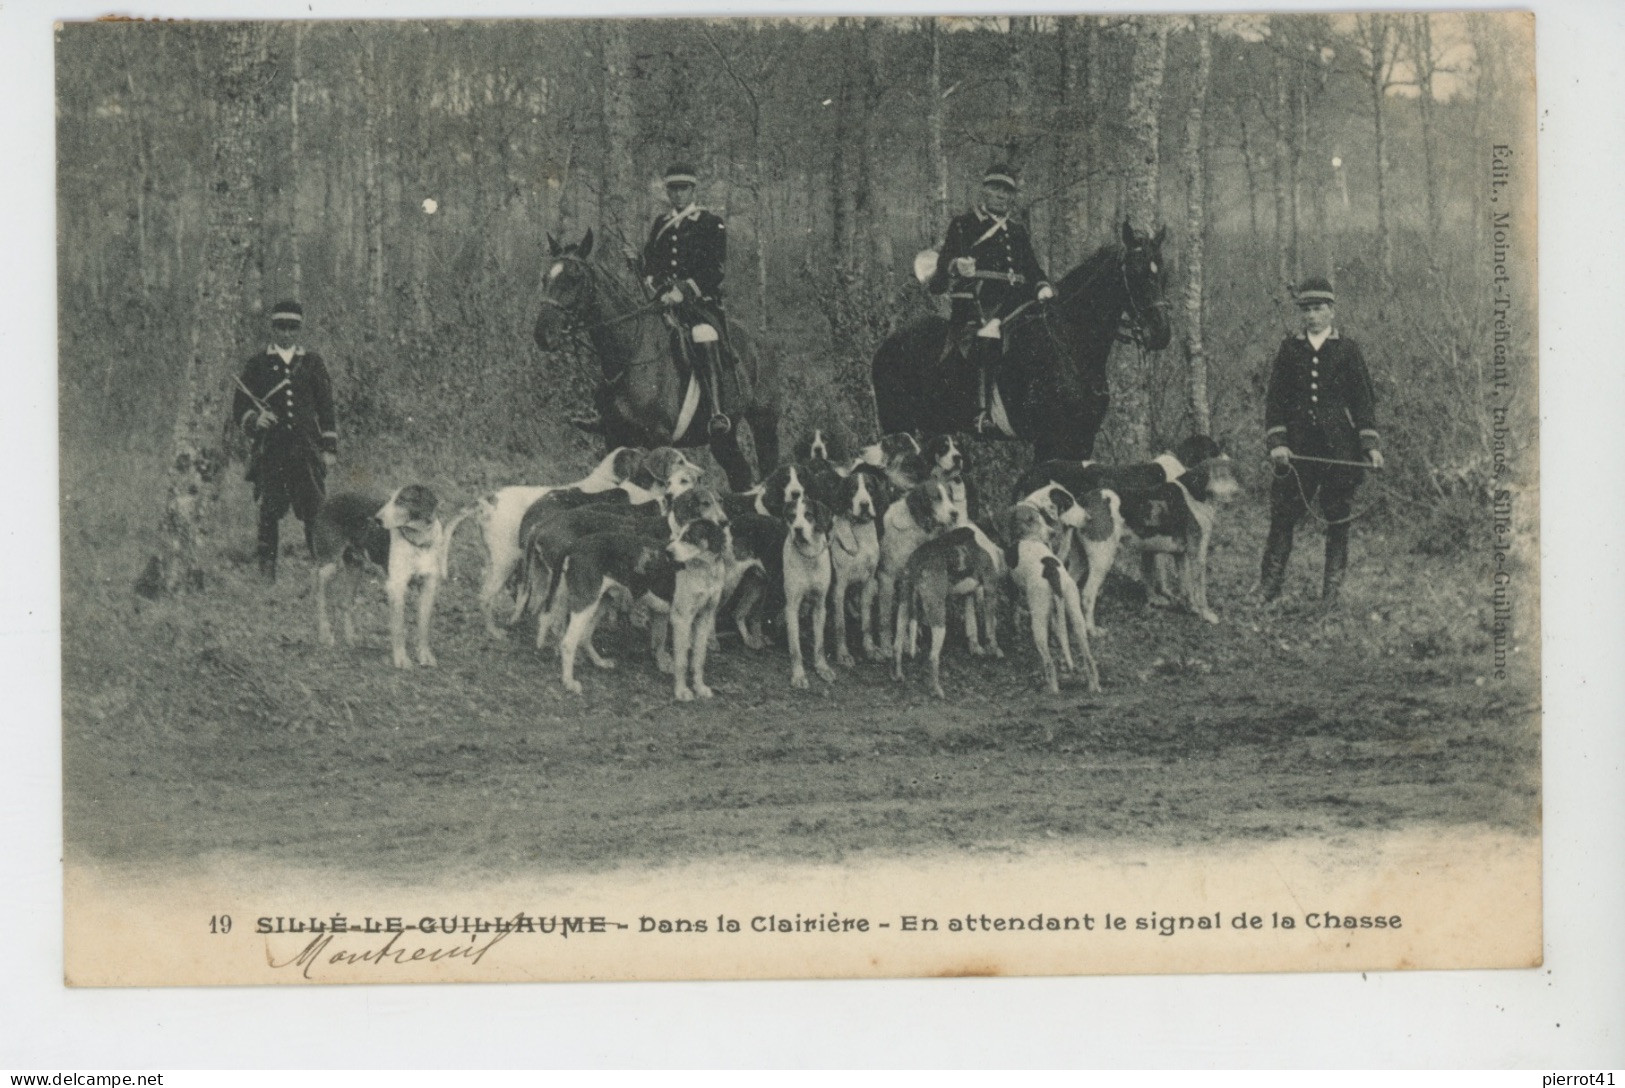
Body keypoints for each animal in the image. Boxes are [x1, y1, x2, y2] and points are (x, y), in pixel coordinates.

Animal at [533, 232, 780, 493]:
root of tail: (761, 341)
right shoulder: (614, 438)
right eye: (545, 278)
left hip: (764, 423)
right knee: (741, 475)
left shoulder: (658, 440)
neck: (631, 354)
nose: (542, 334)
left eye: (575, 278)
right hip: (723, 438)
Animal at [871, 219, 1176, 461]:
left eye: (1163, 273)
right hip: (898, 425)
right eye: (1135, 273)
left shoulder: (1081, 439)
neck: (1070, 346)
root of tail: (887, 344)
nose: (1160, 333)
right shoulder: (1050, 439)